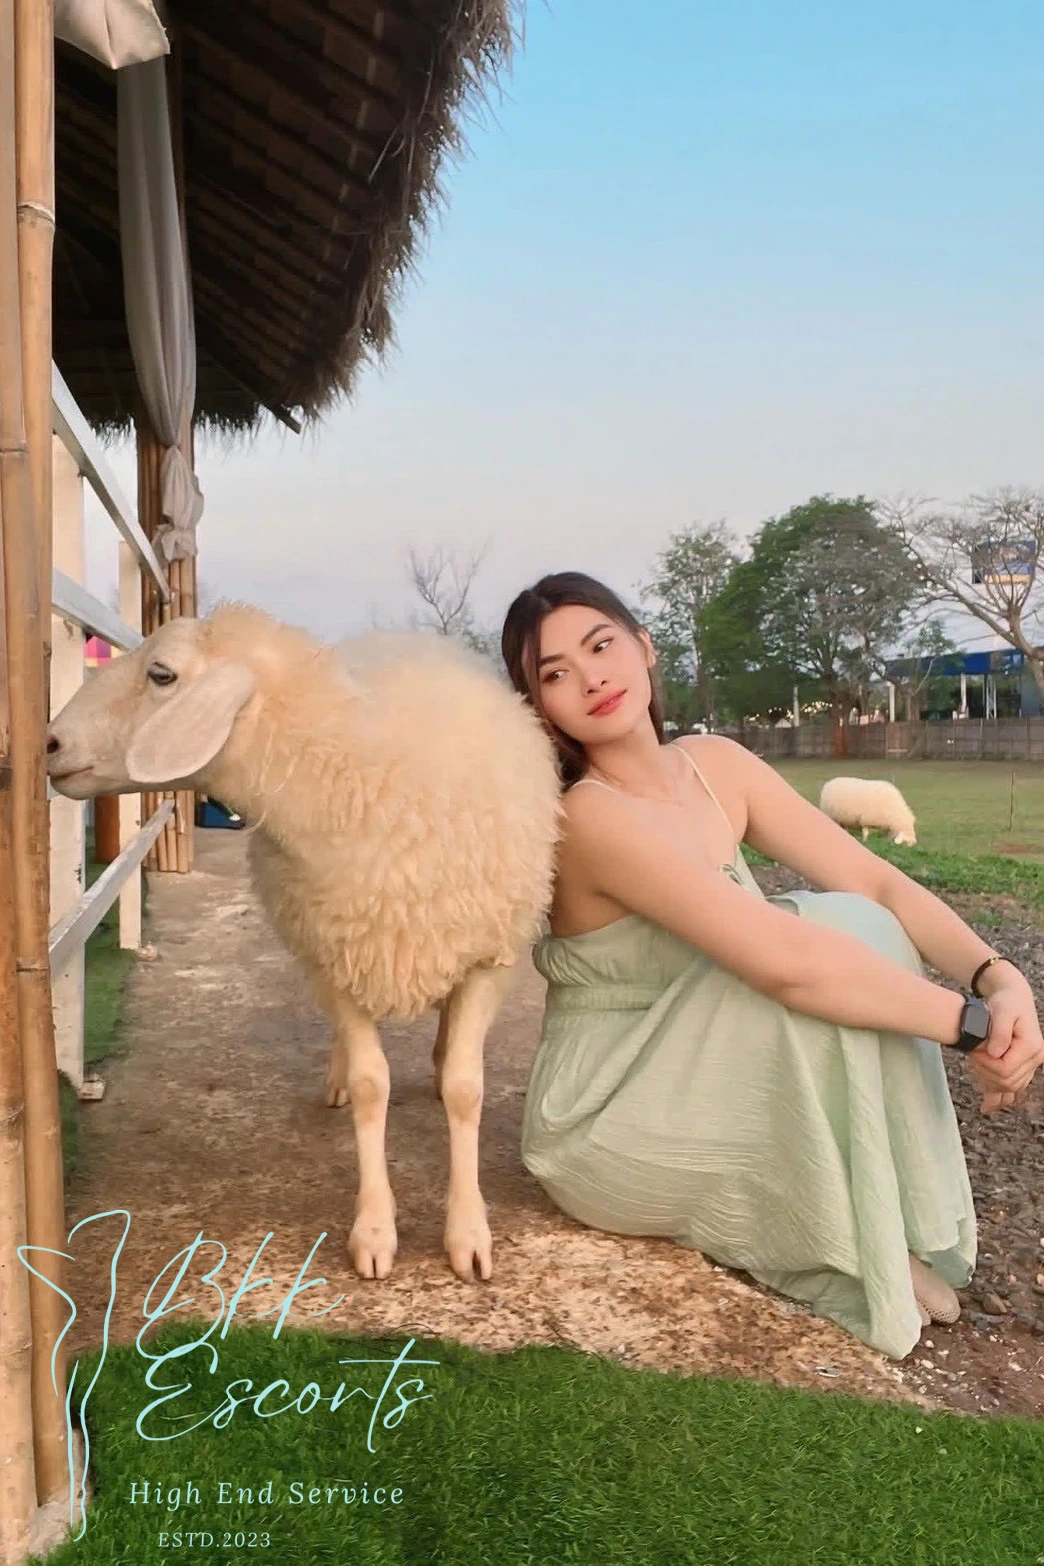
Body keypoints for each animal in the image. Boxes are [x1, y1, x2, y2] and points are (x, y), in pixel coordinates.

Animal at [46, 602, 562, 1284]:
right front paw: (375, 1229)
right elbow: (373, 1087)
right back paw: (340, 1078)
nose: (50, 744)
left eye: (161, 674)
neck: (356, 775)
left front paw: (469, 1231)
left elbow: (465, 1089)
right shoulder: (333, 955)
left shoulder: (487, 956)